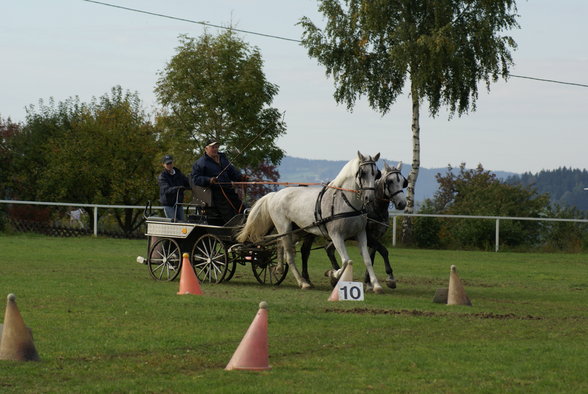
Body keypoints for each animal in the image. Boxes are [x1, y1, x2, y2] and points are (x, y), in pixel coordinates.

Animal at [239, 151, 386, 292]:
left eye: (376, 174)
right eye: (363, 173)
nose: (369, 198)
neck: (345, 202)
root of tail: (275, 195)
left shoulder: (360, 234)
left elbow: (367, 260)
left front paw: (376, 285)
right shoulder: (336, 235)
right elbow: (346, 261)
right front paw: (332, 274)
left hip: (297, 231)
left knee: (279, 244)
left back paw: (280, 268)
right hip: (284, 228)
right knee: (289, 255)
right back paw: (303, 282)